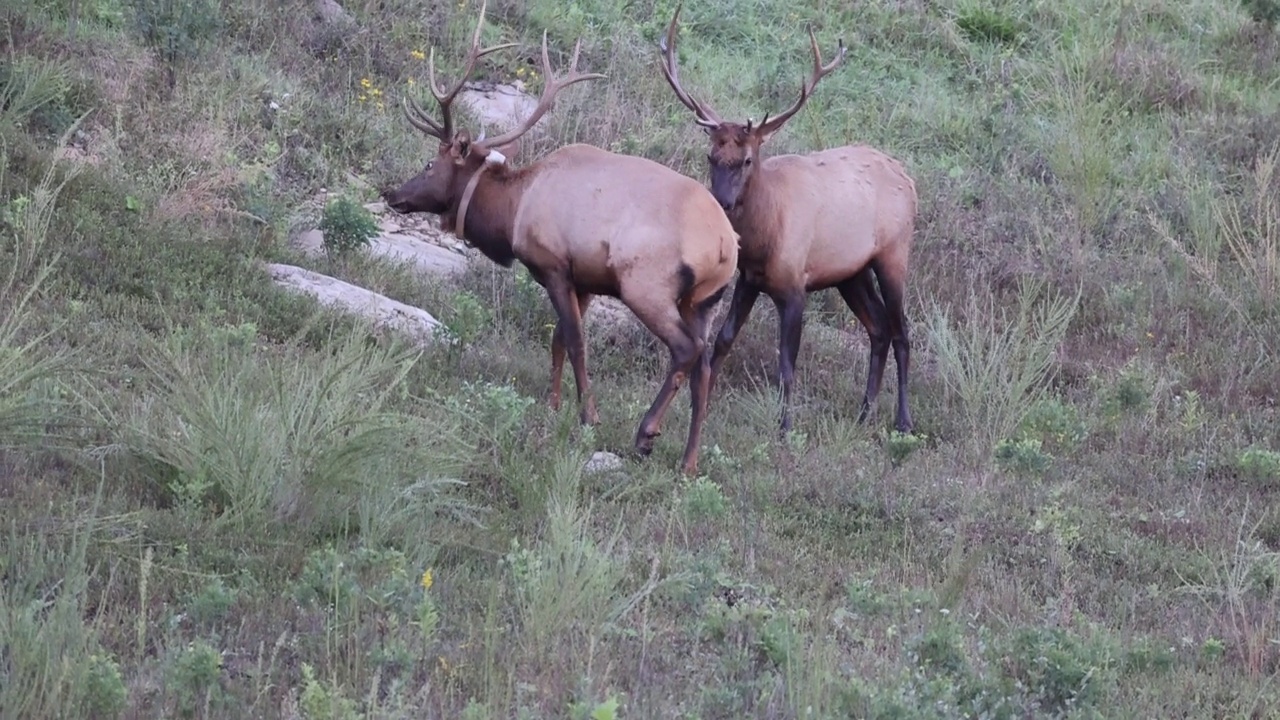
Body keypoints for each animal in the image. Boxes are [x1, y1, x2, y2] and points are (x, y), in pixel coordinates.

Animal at [378, 5, 742, 476]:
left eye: (427, 164)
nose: (393, 193)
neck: (512, 211)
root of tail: (726, 244)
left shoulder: (552, 265)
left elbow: (574, 340)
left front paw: (588, 413)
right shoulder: (584, 277)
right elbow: (557, 340)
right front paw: (552, 404)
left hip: (647, 285)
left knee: (686, 350)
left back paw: (646, 433)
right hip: (705, 300)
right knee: (706, 368)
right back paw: (689, 460)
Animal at [660, 5, 921, 435]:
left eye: (747, 159)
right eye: (711, 156)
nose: (722, 202)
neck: (763, 238)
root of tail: (909, 180)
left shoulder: (796, 287)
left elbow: (786, 363)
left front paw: (785, 426)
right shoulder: (750, 279)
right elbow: (723, 339)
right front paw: (702, 404)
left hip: (894, 254)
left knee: (902, 331)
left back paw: (902, 420)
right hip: (851, 272)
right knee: (879, 328)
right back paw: (864, 412)